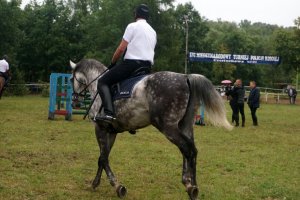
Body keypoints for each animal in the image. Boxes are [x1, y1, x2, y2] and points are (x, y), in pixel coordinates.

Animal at [70, 58, 232, 199]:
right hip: (185, 126)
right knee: (191, 151)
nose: (75, 100)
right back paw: (192, 185)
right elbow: (102, 158)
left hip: (168, 128)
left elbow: (103, 159)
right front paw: (96, 183)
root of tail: (186, 77)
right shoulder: (111, 131)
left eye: (71, 79)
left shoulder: (100, 129)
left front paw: (117, 186)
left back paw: (191, 187)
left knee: (187, 149)